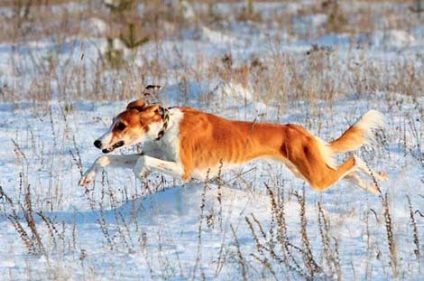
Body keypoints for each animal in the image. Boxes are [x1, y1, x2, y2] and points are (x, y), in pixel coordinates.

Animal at [79, 99, 388, 194]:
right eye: (113, 123)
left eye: (121, 125)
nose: (97, 142)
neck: (164, 128)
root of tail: (297, 129)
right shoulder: (149, 152)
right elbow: (106, 160)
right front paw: (87, 177)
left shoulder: (184, 170)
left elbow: (142, 163)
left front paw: (141, 174)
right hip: (309, 171)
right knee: (349, 171)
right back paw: (372, 187)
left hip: (315, 176)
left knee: (356, 160)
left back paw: (378, 179)